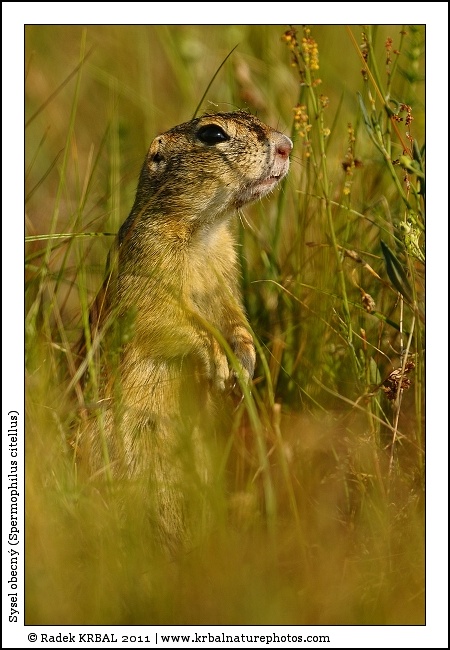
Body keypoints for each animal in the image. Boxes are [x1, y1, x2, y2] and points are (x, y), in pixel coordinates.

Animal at [81, 111, 292, 553]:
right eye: (212, 134)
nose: (287, 145)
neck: (205, 232)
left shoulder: (226, 270)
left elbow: (232, 312)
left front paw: (245, 359)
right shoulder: (148, 261)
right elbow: (164, 317)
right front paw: (218, 360)